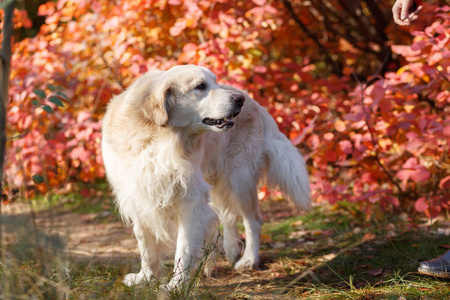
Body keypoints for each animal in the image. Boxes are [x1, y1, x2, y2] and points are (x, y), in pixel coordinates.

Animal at [101, 65, 310, 288]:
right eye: (200, 86)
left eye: (215, 82)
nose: (239, 100)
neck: (159, 139)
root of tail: (254, 101)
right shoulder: (137, 194)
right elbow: (145, 244)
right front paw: (145, 277)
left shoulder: (191, 200)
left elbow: (183, 249)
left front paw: (176, 286)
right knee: (227, 214)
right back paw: (232, 250)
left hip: (239, 179)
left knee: (253, 220)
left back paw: (249, 259)